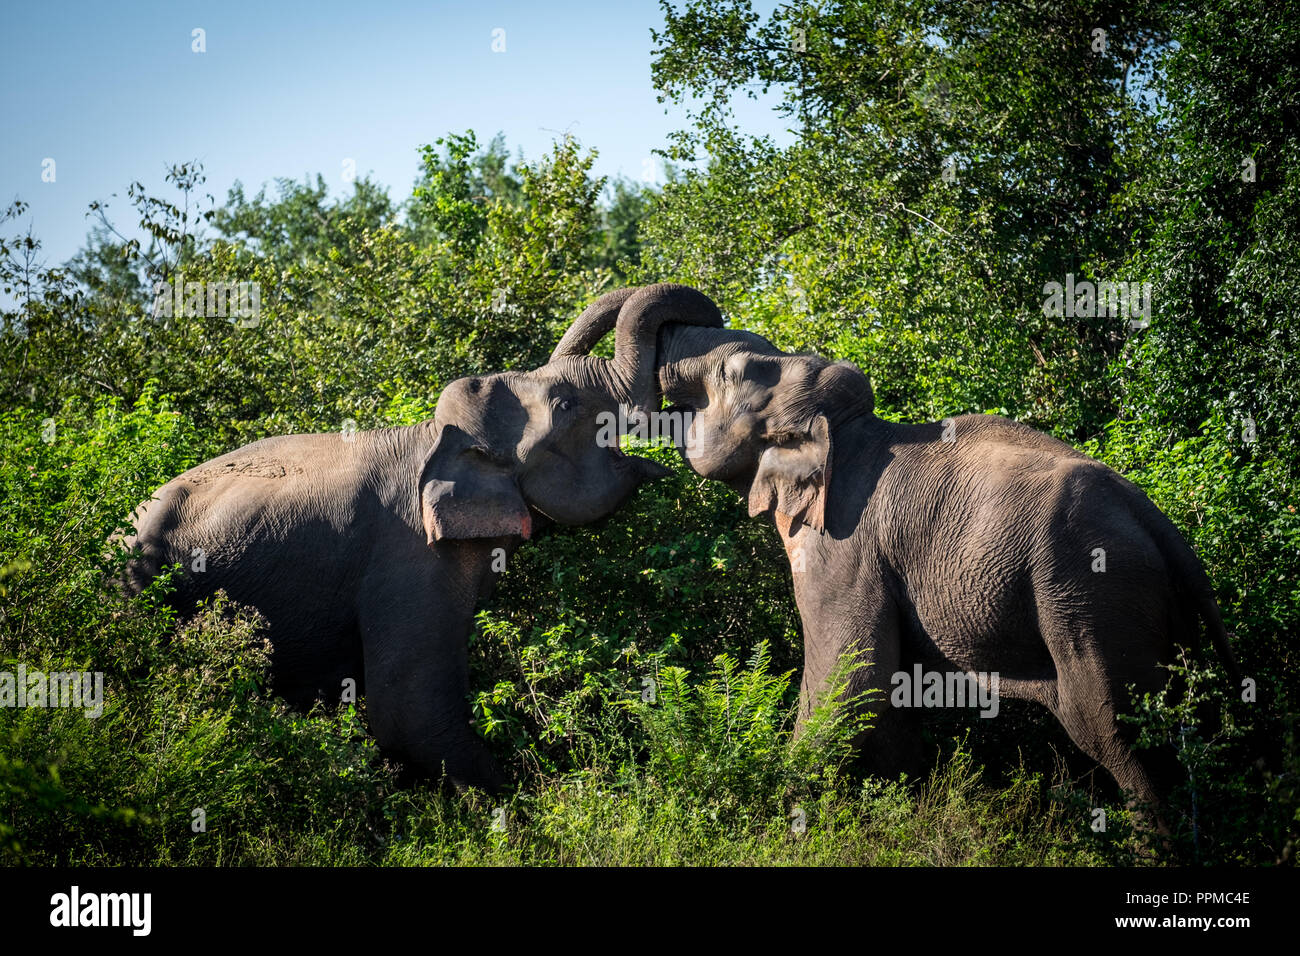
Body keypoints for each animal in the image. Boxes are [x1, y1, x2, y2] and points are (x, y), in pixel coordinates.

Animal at [557, 291, 1237, 815]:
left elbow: (850, 678)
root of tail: (1158, 524)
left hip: (1092, 595)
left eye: (737, 371)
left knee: (1117, 729)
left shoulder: (842, 550)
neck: (849, 431)